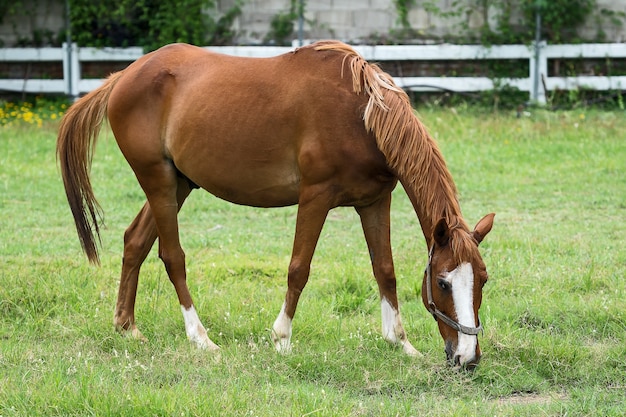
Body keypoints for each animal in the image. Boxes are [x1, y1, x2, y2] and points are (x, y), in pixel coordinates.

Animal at [57, 41, 492, 368]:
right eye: (443, 283)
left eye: (483, 280)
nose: (468, 358)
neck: (361, 115)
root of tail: (122, 77)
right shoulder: (315, 197)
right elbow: (299, 269)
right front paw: (281, 338)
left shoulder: (374, 201)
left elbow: (384, 270)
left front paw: (400, 342)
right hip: (158, 182)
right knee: (172, 256)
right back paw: (200, 338)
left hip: (178, 184)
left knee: (135, 242)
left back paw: (126, 327)